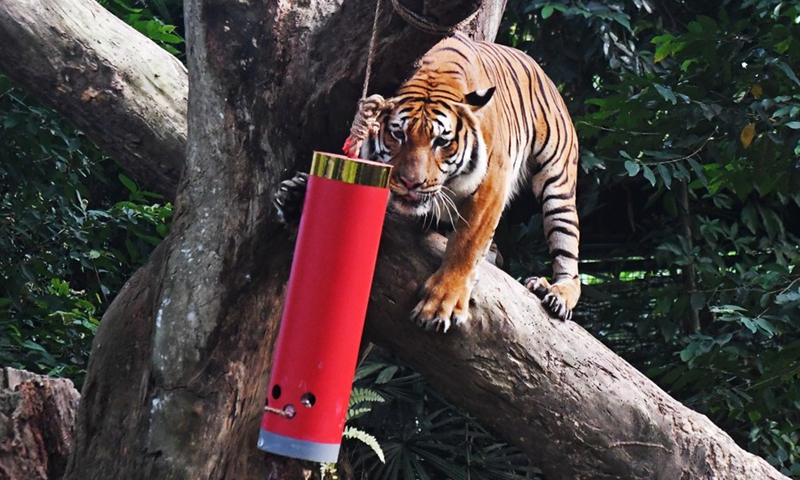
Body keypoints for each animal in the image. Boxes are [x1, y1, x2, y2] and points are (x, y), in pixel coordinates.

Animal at [276, 33, 581, 332]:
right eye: (398, 135)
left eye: (441, 141)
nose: (411, 183)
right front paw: (295, 195)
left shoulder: (492, 181)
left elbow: (467, 242)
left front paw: (442, 303)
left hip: (558, 183)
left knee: (569, 254)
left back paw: (556, 293)